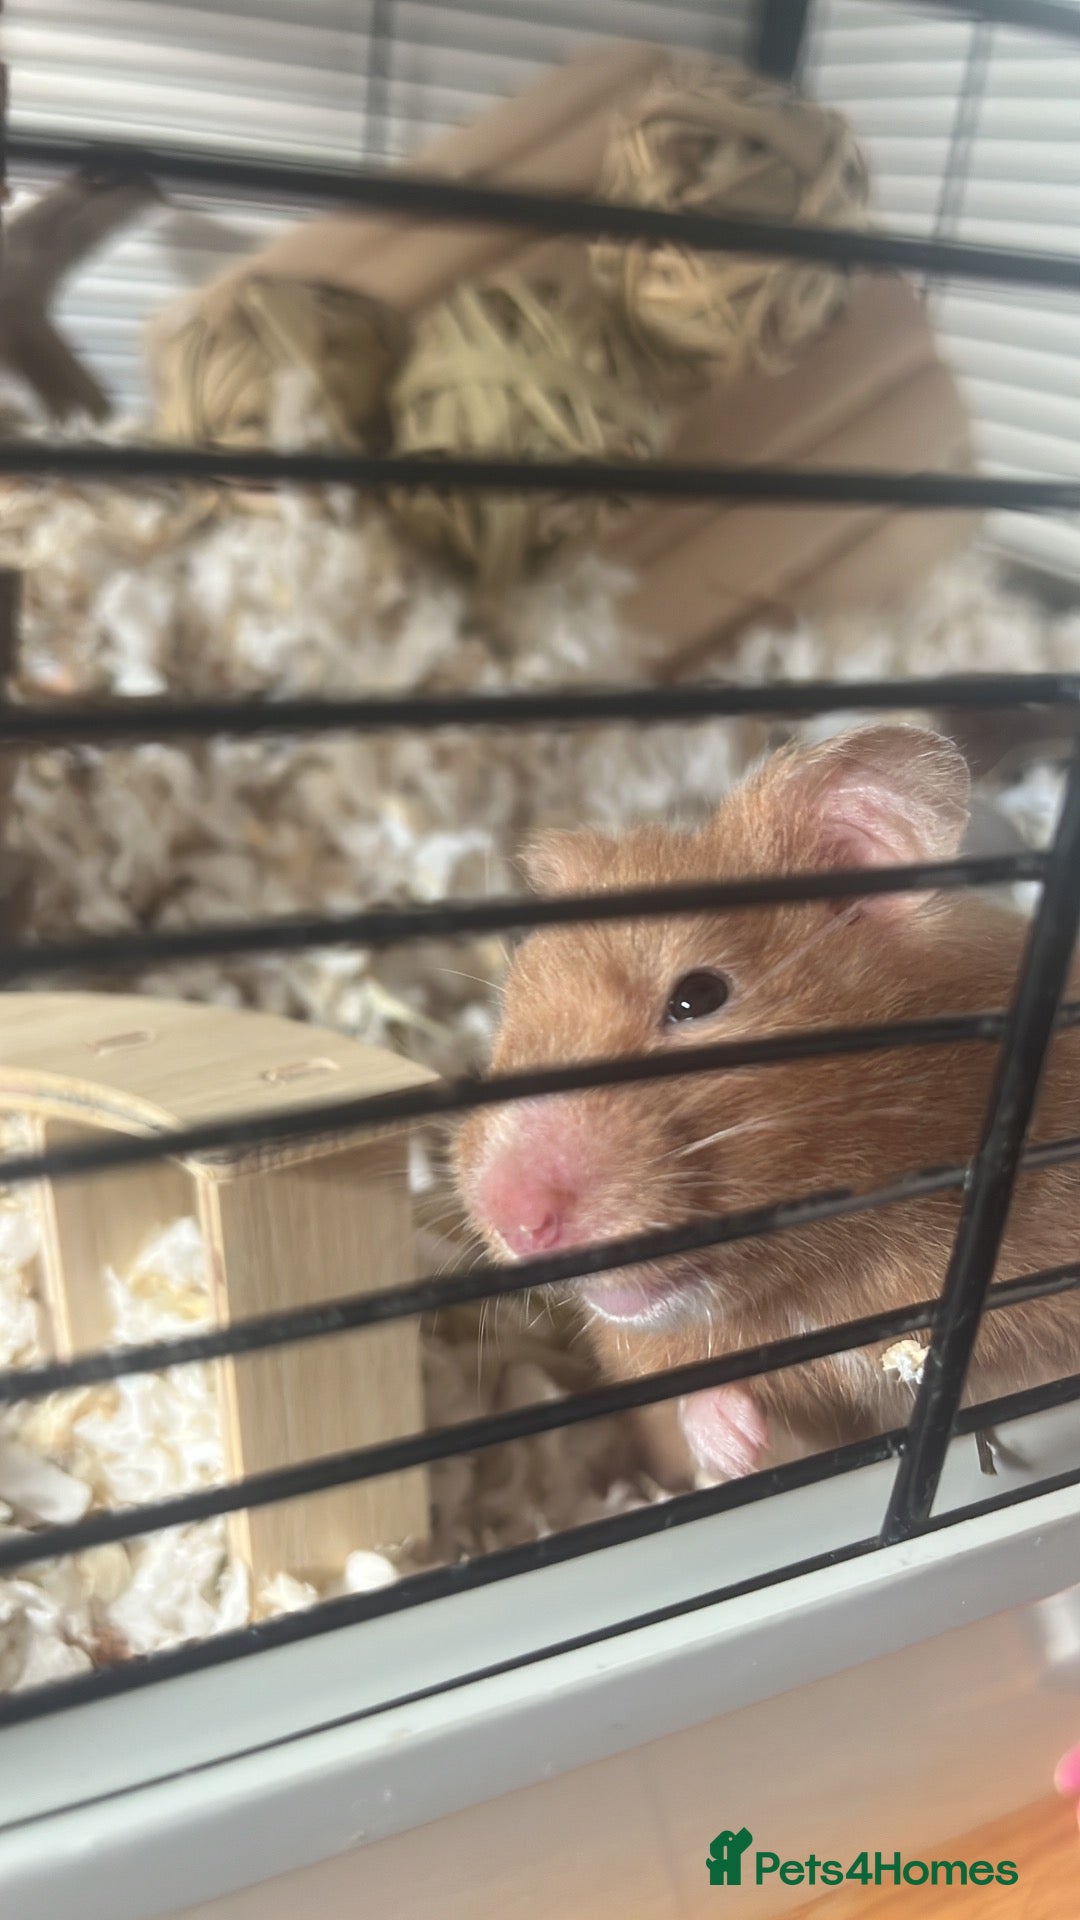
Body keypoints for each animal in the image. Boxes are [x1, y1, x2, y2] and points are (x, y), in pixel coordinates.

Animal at [455, 724, 1080, 1484]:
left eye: (698, 997)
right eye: (509, 1015)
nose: (516, 1222)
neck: (821, 1281)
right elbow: (723, 1420)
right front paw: (733, 1438)